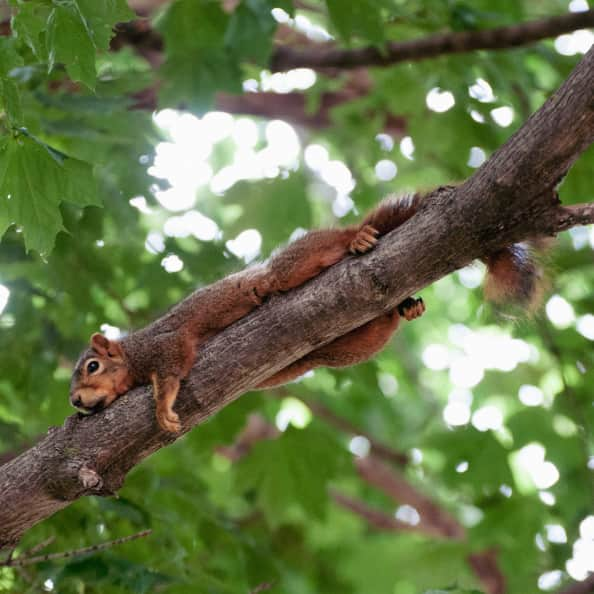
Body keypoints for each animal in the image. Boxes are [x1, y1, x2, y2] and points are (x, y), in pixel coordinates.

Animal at [68, 193, 540, 430]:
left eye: (91, 366)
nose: (74, 400)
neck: (131, 358)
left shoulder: (163, 345)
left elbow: (171, 371)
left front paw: (163, 410)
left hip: (286, 272)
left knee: (324, 246)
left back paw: (357, 238)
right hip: (344, 347)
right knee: (380, 323)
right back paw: (403, 307)